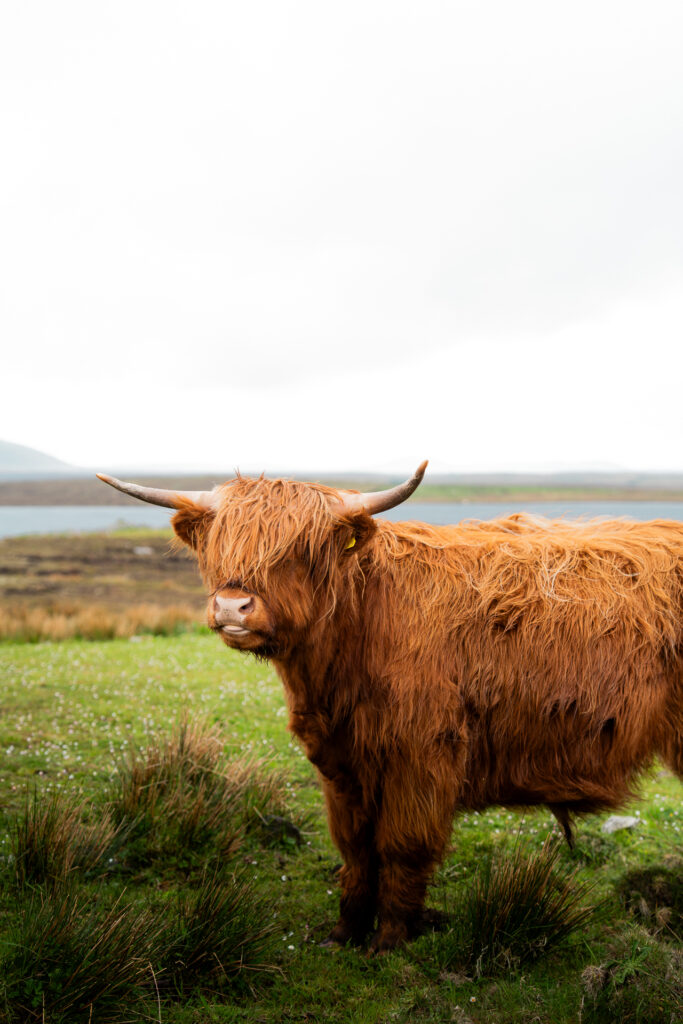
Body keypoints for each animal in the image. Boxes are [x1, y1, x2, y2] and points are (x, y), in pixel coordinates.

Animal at [97, 464, 683, 951]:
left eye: (300, 550)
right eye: (219, 546)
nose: (231, 607)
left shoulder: (421, 757)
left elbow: (401, 847)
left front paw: (390, 939)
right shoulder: (339, 764)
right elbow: (356, 850)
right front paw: (345, 933)